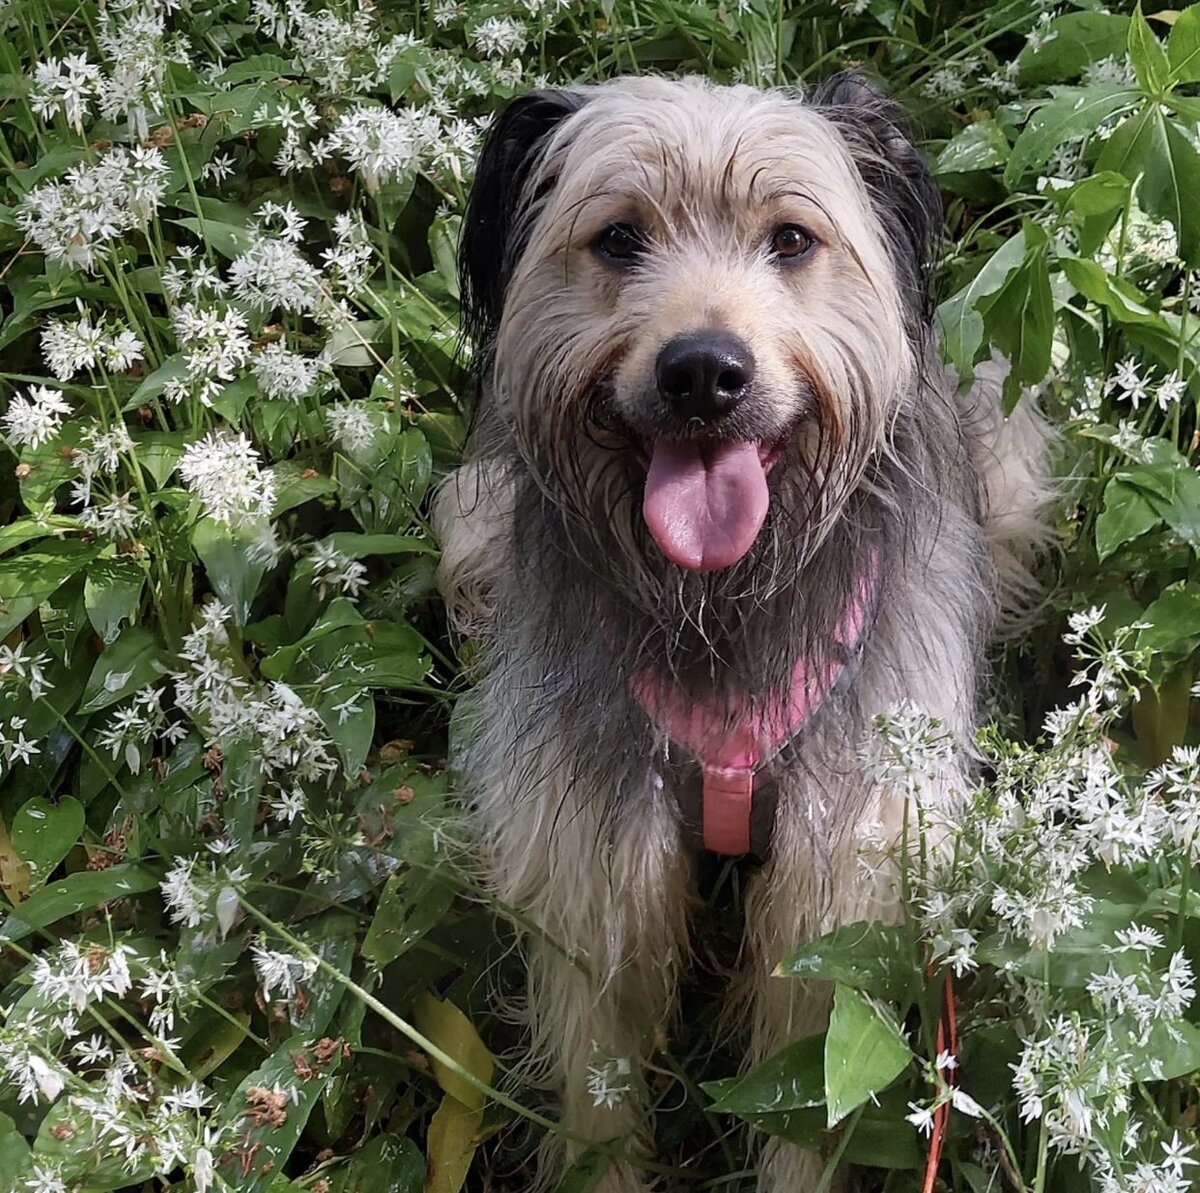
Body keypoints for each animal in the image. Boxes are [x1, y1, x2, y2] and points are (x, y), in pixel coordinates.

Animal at [434, 74, 1051, 1190]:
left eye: (793, 239)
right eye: (619, 236)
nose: (702, 372)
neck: (722, 607)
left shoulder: (836, 876)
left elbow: (806, 1077)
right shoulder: (595, 862)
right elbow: (599, 1078)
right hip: (469, 516)